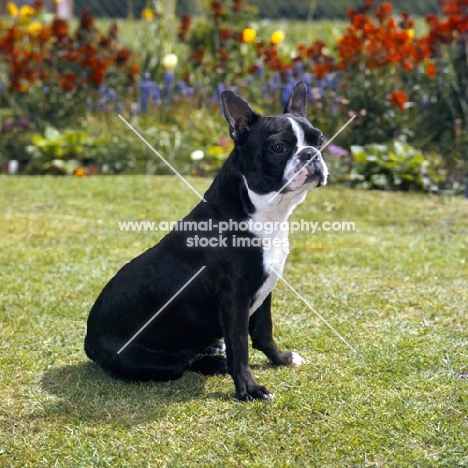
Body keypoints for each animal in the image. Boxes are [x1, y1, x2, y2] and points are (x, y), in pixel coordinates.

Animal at [86, 81, 330, 398]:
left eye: (320, 139)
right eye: (279, 147)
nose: (312, 154)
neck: (263, 213)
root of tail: (88, 342)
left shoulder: (266, 287)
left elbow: (264, 331)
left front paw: (281, 359)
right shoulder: (234, 298)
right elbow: (240, 346)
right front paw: (249, 389)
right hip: (150, 362)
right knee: (183, 363)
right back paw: (215, 362)